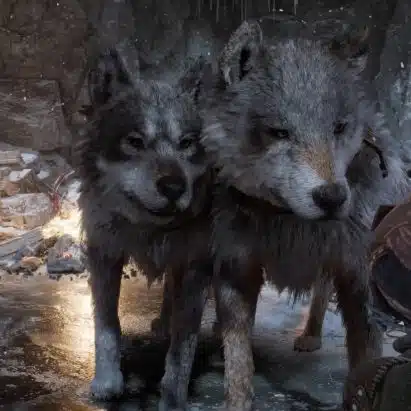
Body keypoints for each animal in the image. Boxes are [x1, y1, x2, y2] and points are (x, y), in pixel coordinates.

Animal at [78, 41, 215, 410]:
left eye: (186, 143)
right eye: (135, 142)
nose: (174, 187)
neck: (148, 230)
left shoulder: (195, 269)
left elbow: (181, 354)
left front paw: (173, 401)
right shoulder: (104, 257)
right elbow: (106, 329)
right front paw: (108, 382)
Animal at [201, 20, 411, 411]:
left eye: (339, 127)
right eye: (280, 132)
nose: (332, 198)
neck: (291, 223)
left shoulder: (358, 278)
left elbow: (365, 353)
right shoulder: (237, 267)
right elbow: (239, 359)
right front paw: (236, 398)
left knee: (322, 290)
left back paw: (311, 334)